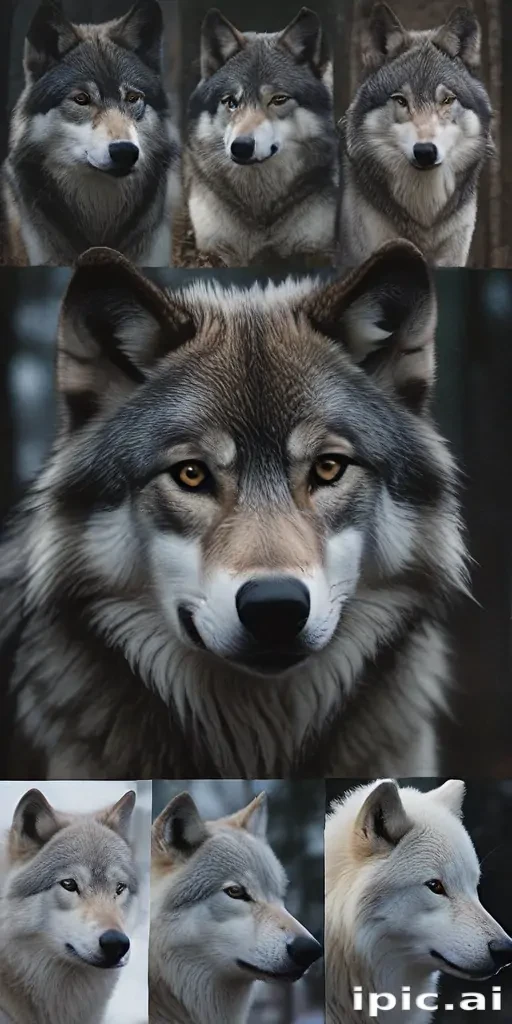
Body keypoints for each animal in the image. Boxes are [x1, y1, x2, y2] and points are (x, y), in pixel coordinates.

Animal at [178, 7, 338, 267]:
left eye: (278, 99)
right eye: (231, 102)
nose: (241, 146)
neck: (259, 208)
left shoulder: (316, 249)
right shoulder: (213, 252)